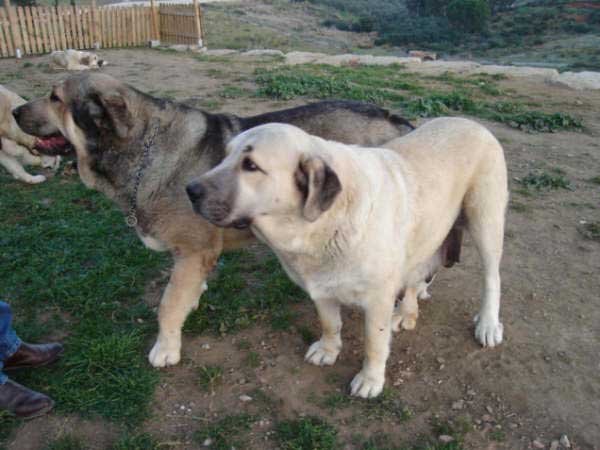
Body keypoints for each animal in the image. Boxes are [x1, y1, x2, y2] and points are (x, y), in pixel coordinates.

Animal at [15, 72, 418, 368]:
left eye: (54, 98)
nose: (15, 111)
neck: (142, 150)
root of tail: (396, 119)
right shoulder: (194, 257)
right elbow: (184, 292)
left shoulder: (193, 252)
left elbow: (167, 305)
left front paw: (166, 348)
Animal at [186, 118, 506, 400]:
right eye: (224, 156)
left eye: (251, 166)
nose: (189, 190)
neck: (323, 223)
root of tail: (472, 122)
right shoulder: (321, 288)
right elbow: (330, 323)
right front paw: (328, 350)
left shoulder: (377, 300)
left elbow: (374, 343)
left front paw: (370, 379)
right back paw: (406, 312)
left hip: (485, 221)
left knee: (492, 278)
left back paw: (488, 325)